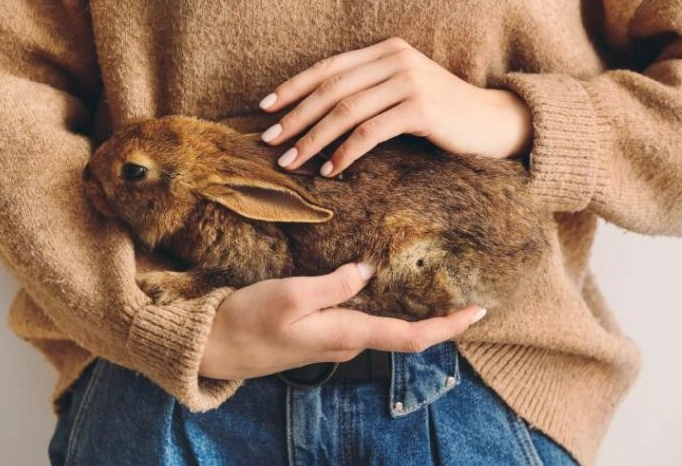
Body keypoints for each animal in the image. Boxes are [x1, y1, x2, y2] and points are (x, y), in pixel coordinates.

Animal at [83, 115, 550, 320]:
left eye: (134, 171)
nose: (87, 175)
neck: (206, 199)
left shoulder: (252, 254)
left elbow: (223, 275)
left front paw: (160, 286)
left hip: (417, 261)